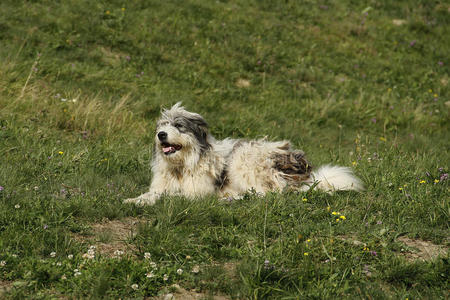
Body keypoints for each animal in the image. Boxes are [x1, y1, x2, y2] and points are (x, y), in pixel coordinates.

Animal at [125, 102, 364, 205]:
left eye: (178, 125)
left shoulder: (197, 192)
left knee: (268, 194)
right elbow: (153, 193)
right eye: (162, 125)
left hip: (244, 161)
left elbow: (171, 195)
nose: (161, 135)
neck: (182, 166)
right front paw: (135, 199)